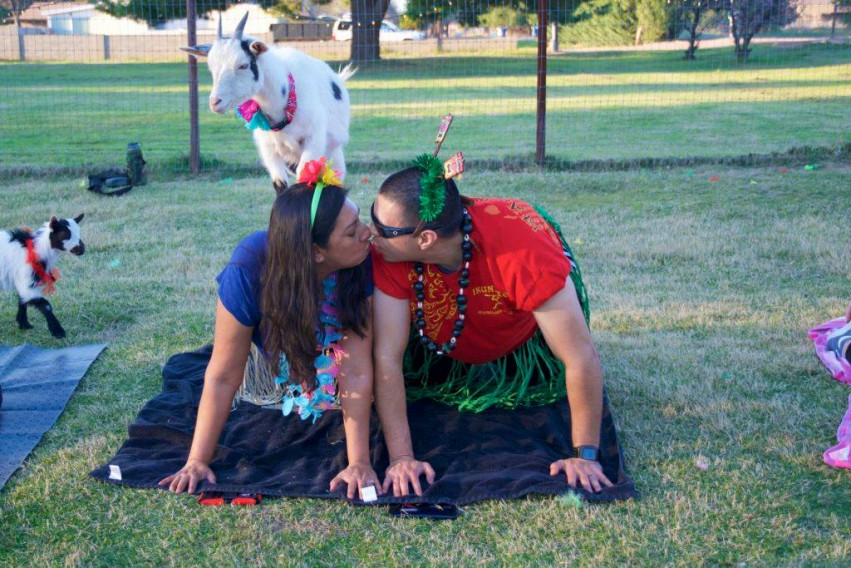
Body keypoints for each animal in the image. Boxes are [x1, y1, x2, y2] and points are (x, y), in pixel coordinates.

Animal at [183, 13, 356, 194]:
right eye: (211, 67)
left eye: (243, 65)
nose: (215, 102)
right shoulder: (269, 150)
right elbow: (280, 184)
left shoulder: (313, 141)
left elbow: (304, 180)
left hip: (332, 153)